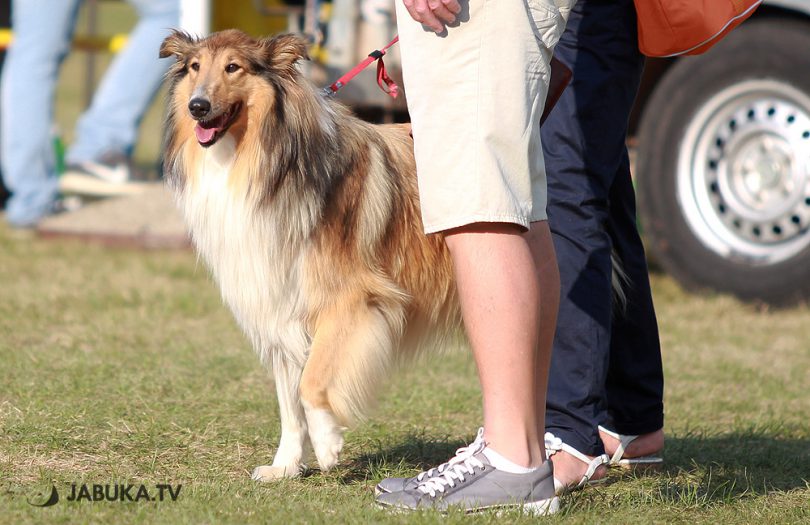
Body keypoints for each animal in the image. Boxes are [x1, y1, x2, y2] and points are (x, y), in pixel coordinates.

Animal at [158, 28, 460, 478]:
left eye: (233, 67)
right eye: (195, 67)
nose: (198, 106)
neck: (262, 163)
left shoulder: (352, 300)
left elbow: (312, 382)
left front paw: (327, 442)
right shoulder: (279, 307)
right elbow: (288, 403)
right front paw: (284, 467)